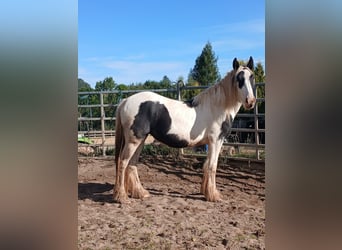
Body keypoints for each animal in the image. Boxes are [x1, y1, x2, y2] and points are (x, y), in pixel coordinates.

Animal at [113, 56, 255, 203]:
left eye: (252, 77)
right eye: (239, 78)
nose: (250, 101)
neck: (218, 107)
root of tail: (125, 101)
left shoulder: (210, 143)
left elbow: (206, 165)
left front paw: (205, 192)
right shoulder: (216, 141)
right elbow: (212, 166)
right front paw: (214, 196)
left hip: (140, 140)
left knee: (132, 164)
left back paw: (140, 193)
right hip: (133, 141)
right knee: (123, 162)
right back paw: (122, 196)